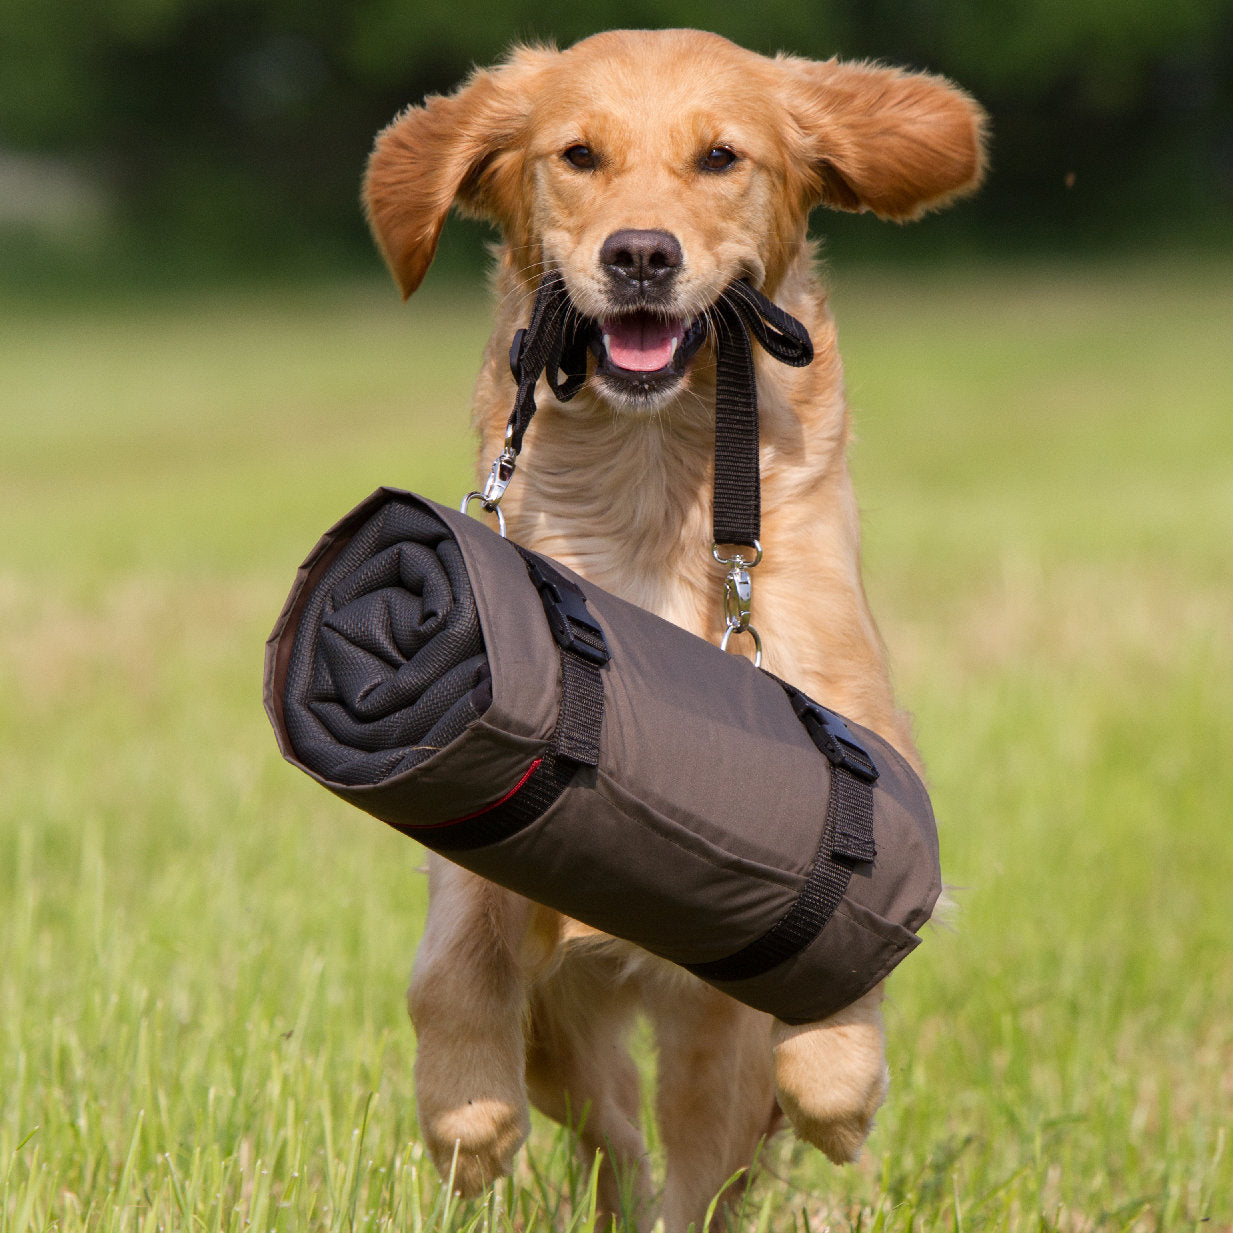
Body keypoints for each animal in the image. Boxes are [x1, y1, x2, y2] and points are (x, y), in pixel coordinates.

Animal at [360, 28, 981, 1233]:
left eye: (721, 158)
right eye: (578, 155)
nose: (640, 255)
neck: (650, 483)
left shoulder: (858, 728)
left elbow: (838, 992)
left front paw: (840, 1090)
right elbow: (450, 964)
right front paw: (465, 1118)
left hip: (706, 1047)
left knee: (703, 1164)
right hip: (574, 1036)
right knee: (614, 1137)